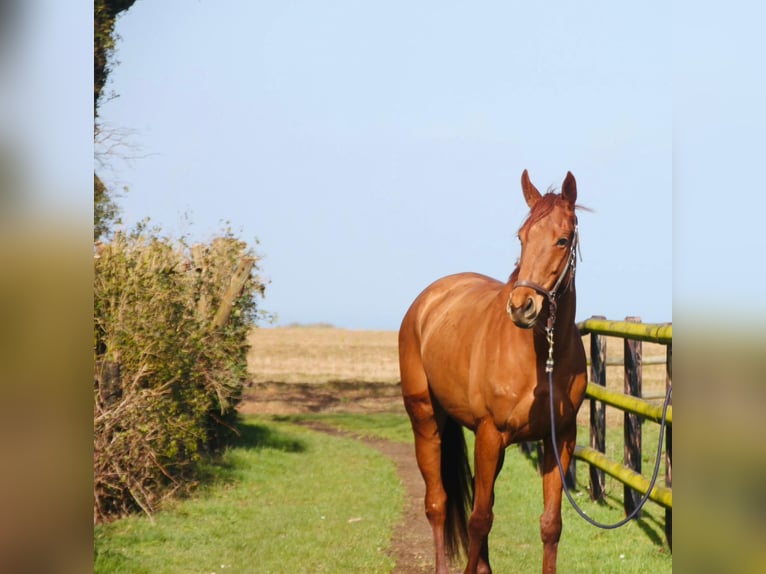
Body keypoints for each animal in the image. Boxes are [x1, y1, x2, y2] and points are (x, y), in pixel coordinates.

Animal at [399, 169, 588, 574]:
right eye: (522, 236)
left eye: (562, 240)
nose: (522, 306)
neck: (538, 359)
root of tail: (428, 301)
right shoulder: (490, 434)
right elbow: (479, 519)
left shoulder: (560, 438)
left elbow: (551, 524)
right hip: (426, 420)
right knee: (438, 504)